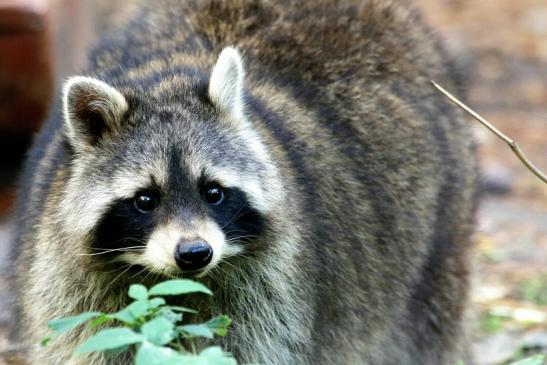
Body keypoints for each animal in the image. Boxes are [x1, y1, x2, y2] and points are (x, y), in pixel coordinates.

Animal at [11, 0, 476, 364]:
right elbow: (87, 342)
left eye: (213, 192)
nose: (194, 254)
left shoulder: (277, 286)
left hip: (441, 238)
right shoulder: (68, 281)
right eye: (145, 200)